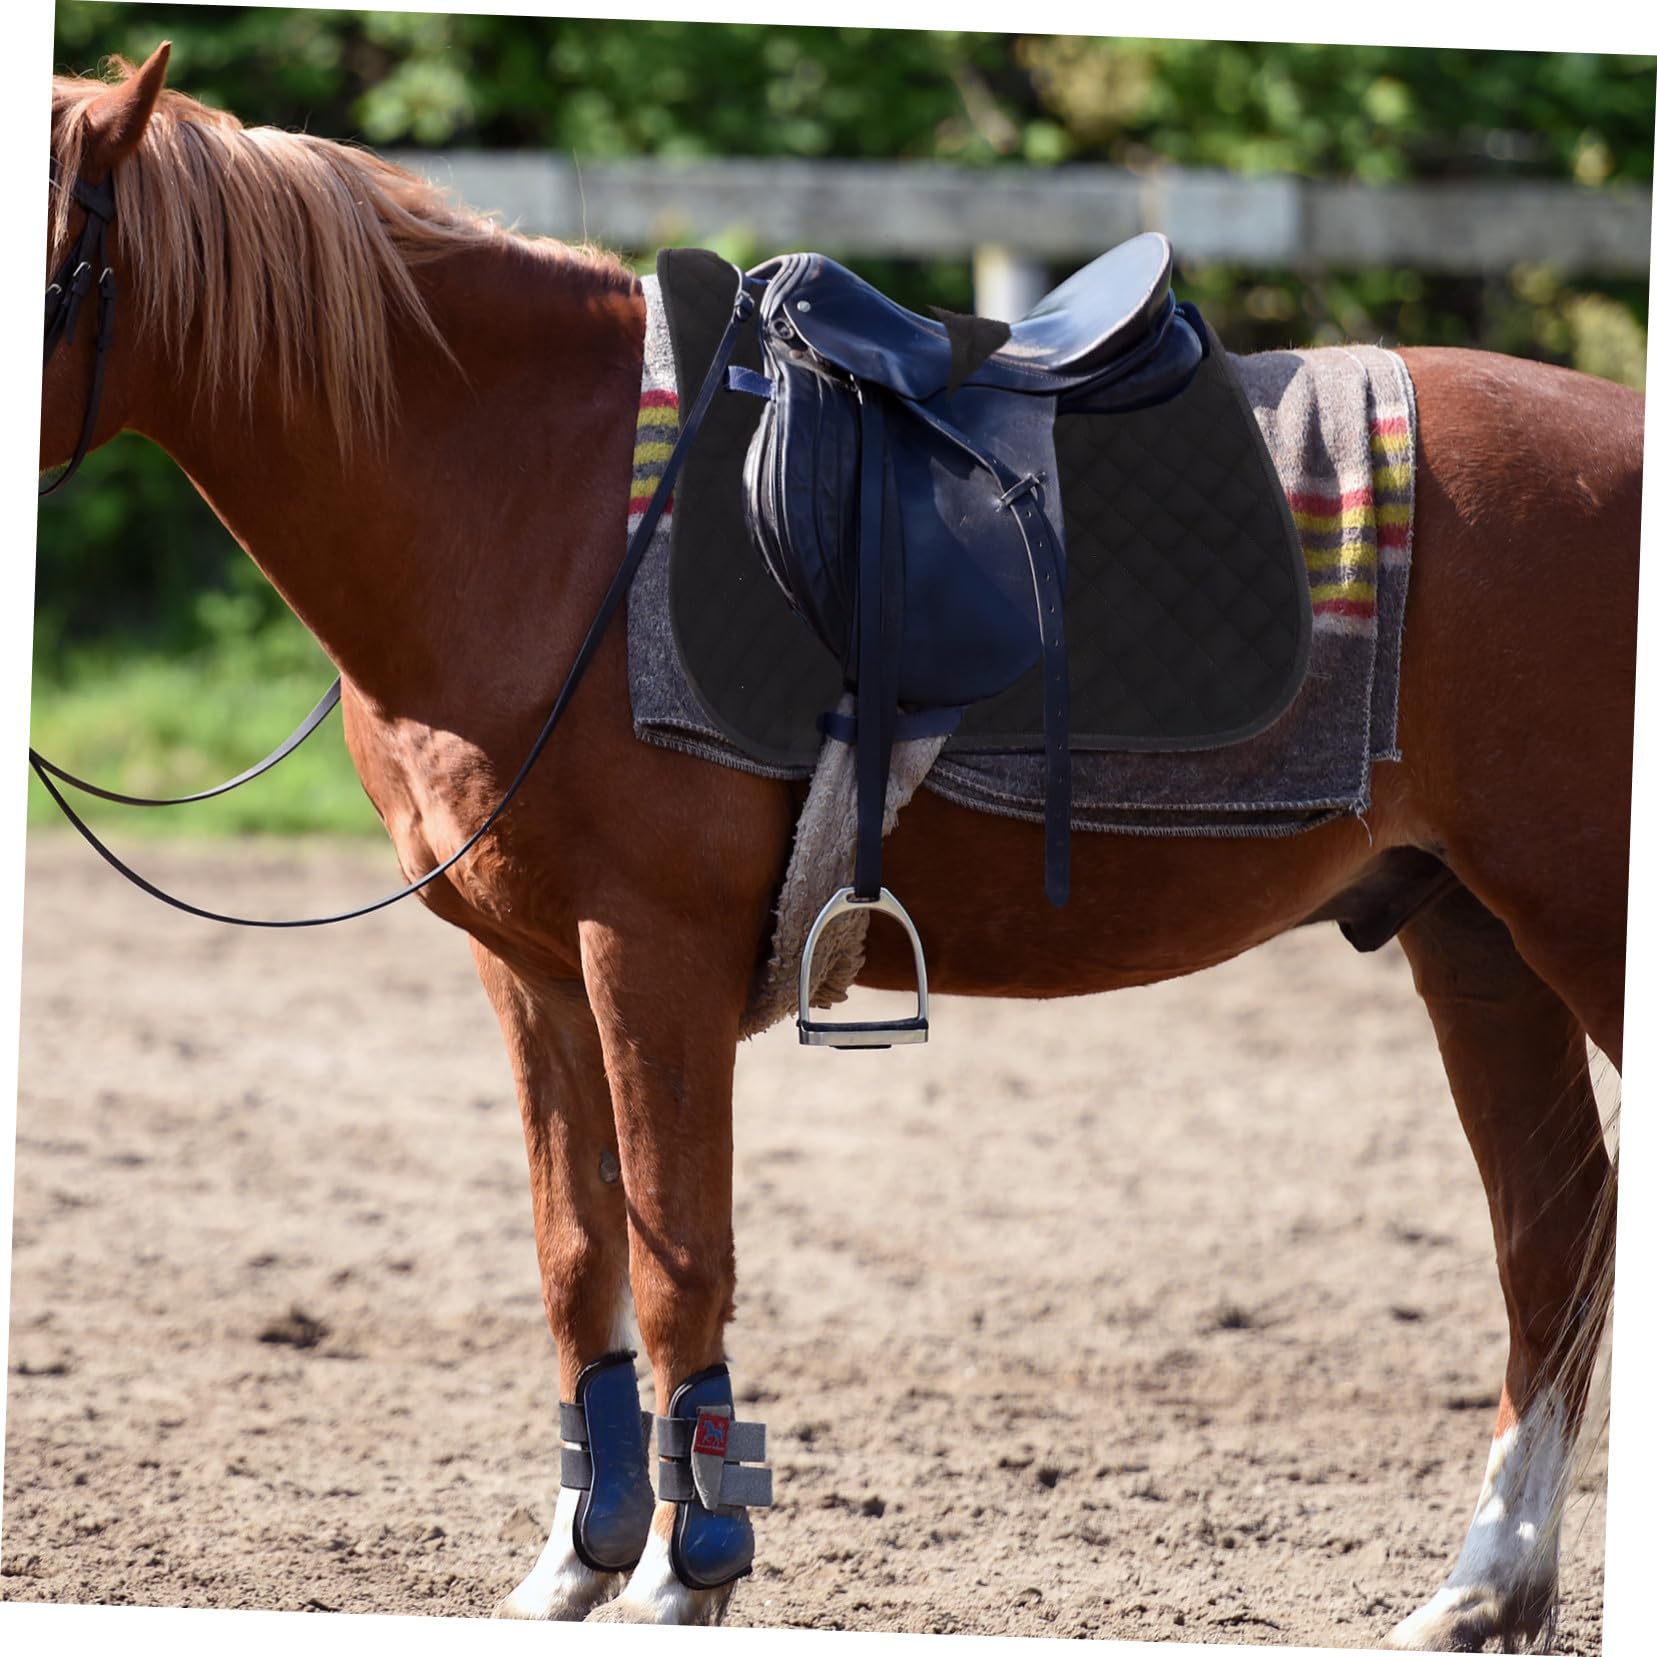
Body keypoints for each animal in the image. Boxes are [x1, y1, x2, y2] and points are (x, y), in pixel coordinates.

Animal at [39, 47, 1634, 1649]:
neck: (535, 501)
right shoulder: (530, 968)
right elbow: (577, 1255)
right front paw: (577, 1558)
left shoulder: (651, 954)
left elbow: (679, 1262)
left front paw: (687, 1568)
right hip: (1474, 939)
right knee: (1551, 1234)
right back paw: (1479, 1585)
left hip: (1580, 928)